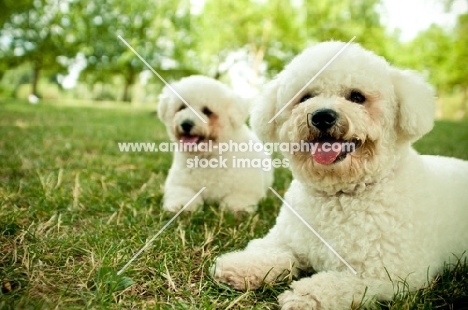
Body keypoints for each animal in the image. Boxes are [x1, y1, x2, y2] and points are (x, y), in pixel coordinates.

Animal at [158, 75, 274, 213]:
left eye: (207, 111)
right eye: (181, 107)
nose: (186, 124)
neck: (208, 156)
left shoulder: (246, 186)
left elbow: (240, 196)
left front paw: (238, 208)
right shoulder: (179, 184)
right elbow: (182, 193)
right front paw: (182, 207)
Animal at [210, 42, 468, 308]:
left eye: (357, 97)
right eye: (306, 97)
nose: (322, 116)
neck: (339, 194)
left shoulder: (385, 272)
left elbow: (337, 285)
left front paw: (306, 295)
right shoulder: (286, 239)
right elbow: (267, 251)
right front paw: (240, 266)